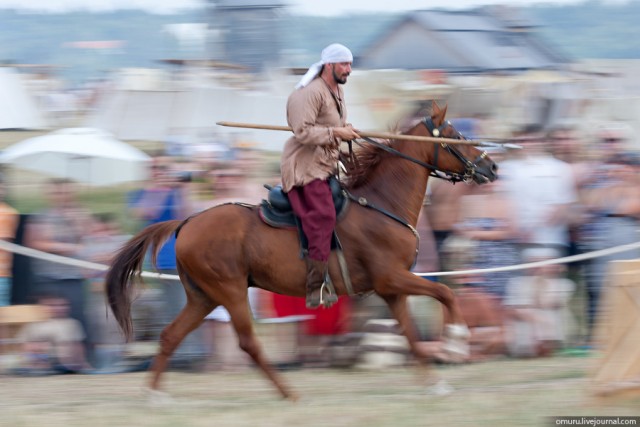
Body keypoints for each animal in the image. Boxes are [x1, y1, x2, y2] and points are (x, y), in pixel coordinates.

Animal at [105, 103, 498, 402]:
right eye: (455, 135)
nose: (491, 166)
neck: (381, 204)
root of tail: (187, 221)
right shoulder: (393, 278)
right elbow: (445, 292)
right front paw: (456, 342)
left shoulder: (391, 289)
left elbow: (413, 334)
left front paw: (435, 381)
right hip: (230, 290)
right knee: (248, 342)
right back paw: (288, 392)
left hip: (203, 296)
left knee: (171, 335)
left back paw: (154, 394)